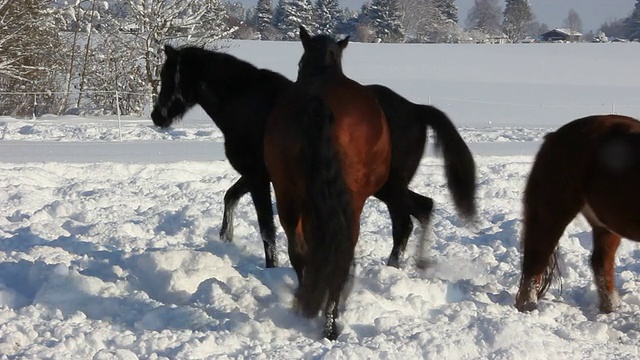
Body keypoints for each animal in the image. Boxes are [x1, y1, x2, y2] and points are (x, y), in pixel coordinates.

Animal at [150, 41, 476, 268]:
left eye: (170, 77)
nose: (157, 116)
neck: (251, 105)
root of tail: (417, 109)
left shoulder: (258, 177)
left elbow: (266, 228)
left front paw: (271, 266)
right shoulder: (256, 175)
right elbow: (230, 197)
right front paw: (225, 237)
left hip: (390, 186)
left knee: (405, 223)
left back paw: (392, 267)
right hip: (387, 187)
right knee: (424, 208)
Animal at [262, 26, 392, 338]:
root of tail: (317, 101)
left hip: (287, 192)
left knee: (299, 250)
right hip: (349, 202)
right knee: (340, 254)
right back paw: (330, 322)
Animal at [516, 114, 640, 312]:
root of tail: (554, 135)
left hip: (605, 224)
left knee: (601, 263)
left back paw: (611, 307)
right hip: (553, 212)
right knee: (536, 257)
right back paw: (528, 306)